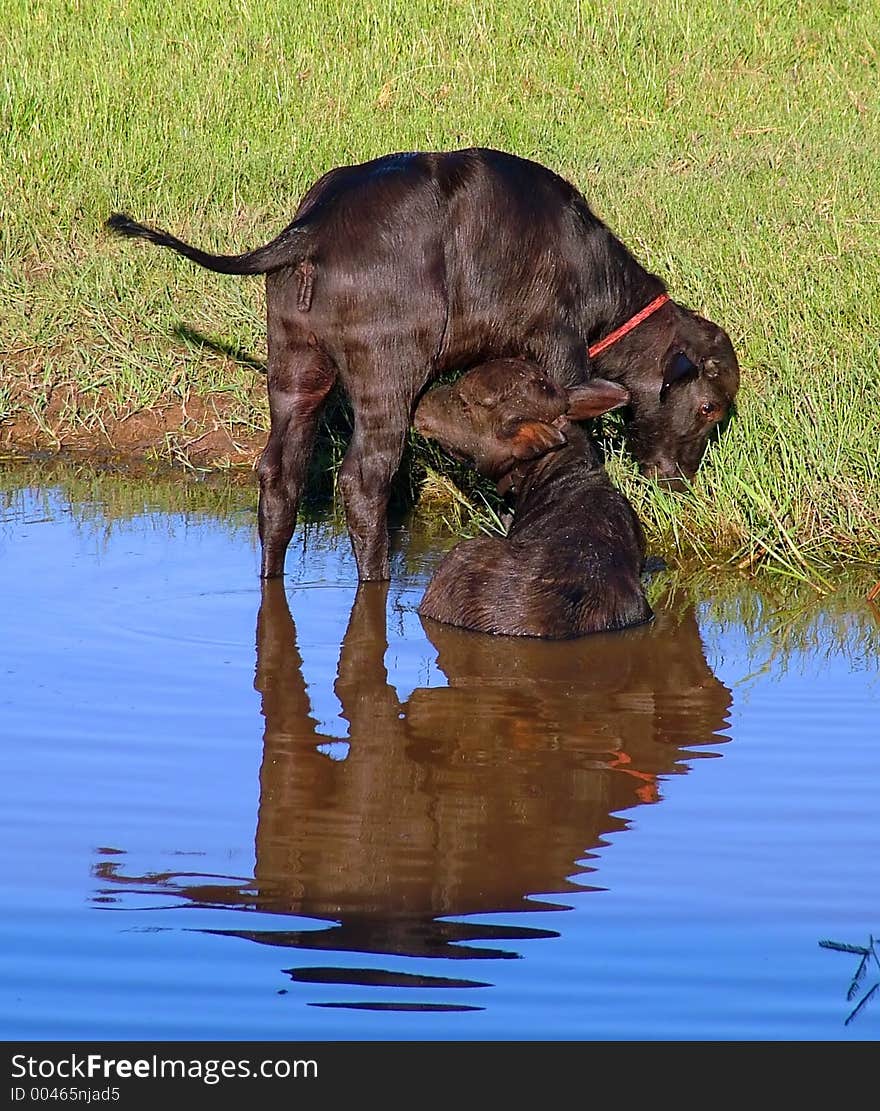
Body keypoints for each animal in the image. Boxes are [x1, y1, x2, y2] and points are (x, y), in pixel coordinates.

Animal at [106, 147, 737, 582]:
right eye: (709, 408)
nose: (678, 481)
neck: (591, 269)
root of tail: (316, 225)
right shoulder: (560, 347)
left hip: (297, 368)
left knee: (279, 476)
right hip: (386, 378)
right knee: (364, 481)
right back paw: (376, 576)